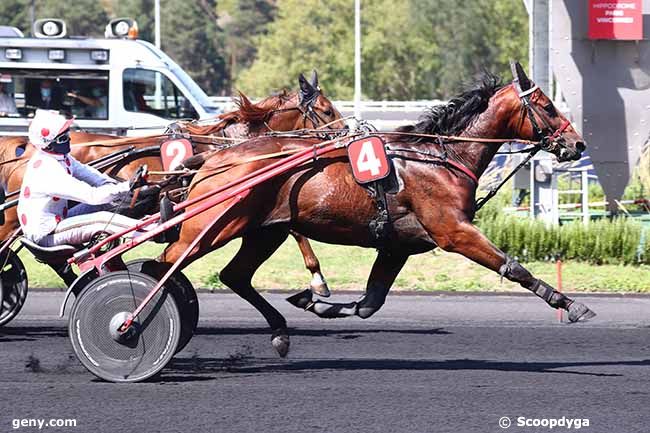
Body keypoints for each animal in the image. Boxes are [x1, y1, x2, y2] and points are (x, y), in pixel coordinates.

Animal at [0, 72, 342, 296]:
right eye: (326, 111)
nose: (344, 133)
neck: (229, 143)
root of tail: (24, 150)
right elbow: (295, 229)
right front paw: (318, 279)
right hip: (14, 221)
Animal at [161, 62, 592, 356]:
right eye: (548, 106)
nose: (577, 144)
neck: (440, 157)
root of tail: (214, 158)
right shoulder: (454, 232)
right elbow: (514, 268)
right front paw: (570, 304)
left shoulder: (398, 245)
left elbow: (370, 304)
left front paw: (314, 301)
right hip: (212, 227)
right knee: (166, 263)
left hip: (265, 231)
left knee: (233, 275)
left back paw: (280, 333)